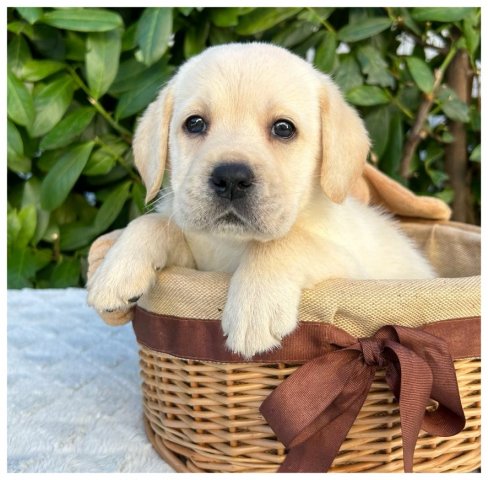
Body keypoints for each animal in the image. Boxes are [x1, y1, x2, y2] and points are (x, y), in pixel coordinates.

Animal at [86, 44, 434, 356]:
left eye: (283, 128)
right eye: (195, 123)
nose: (231, 179)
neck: (233, 244)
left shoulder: (353, 269)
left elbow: (283, 242)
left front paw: (253, 309)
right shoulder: (197, 262)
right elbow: (153, 223)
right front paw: (116, 272)